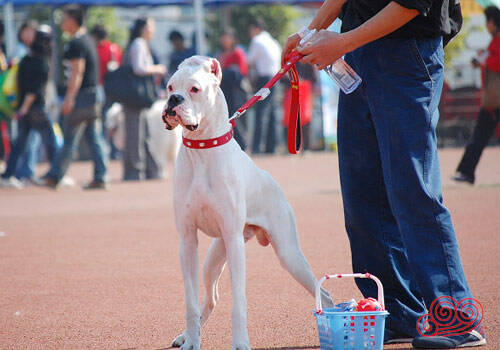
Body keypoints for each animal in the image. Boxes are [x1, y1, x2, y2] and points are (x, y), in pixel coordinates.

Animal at [164, 56, 334, 348]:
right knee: (210, 299)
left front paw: (241, 342)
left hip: (289, 255)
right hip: (212, 260)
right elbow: (190, 303)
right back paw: (186, 335)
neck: (202, 150)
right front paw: (192, 341)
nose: (174, 99)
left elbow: (239, 303)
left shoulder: (234, 242)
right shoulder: (187, 242)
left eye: (195, 89)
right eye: (170, 86)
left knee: (324, 294)